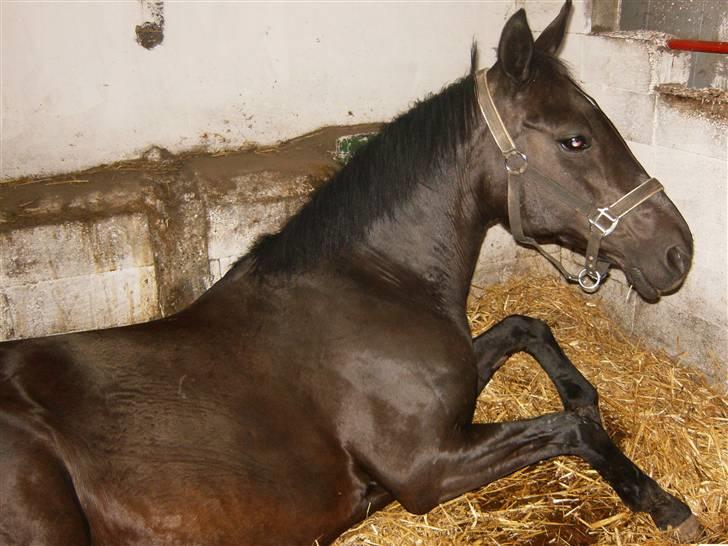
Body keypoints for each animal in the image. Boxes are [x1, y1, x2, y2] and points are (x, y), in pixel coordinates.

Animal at [2, 2, 704, 540]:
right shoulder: (427, 467)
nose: (678, 251)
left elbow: (526, 326)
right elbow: (572, 427)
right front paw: (664, 504)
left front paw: (581, 389)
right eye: (574, 139)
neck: (370, 282)